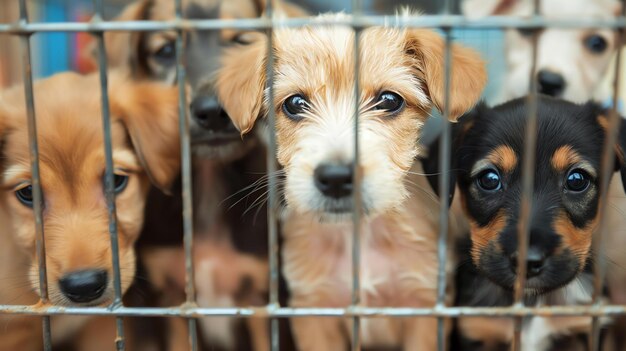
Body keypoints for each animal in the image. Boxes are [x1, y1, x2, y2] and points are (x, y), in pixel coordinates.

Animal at [217, 12, 486, 350]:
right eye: (295, 104)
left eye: (389, 100)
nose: (335, 178)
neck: (359, 233)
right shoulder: (314, 311)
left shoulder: (422, 308)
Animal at [420, 95, 620, 350]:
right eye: (489, 179)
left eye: (577, 179)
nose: (527, 261)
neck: (531, 300)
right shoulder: (475, 330)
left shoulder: (586, 328)